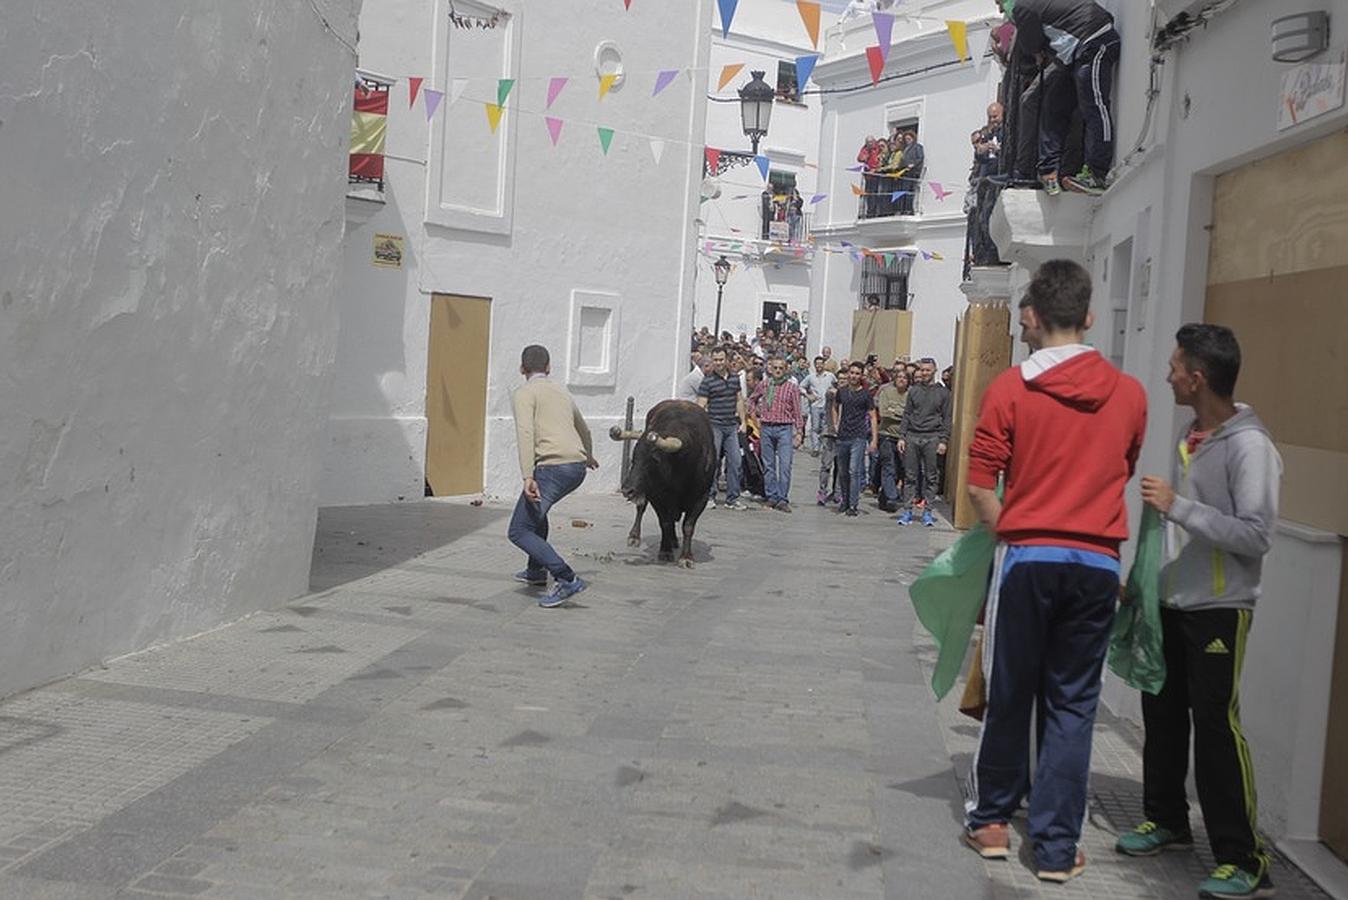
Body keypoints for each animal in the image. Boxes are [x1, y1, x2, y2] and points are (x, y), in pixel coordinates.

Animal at [609, 398, 717, 565]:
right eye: (634, 459)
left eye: (655, 460)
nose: (627, 490)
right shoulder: (656, 496)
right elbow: (665, 522)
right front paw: (665, 551)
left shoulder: (702, 497)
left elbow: (688, 526)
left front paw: (686, 557)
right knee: (641, 508)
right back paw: (635, 536)